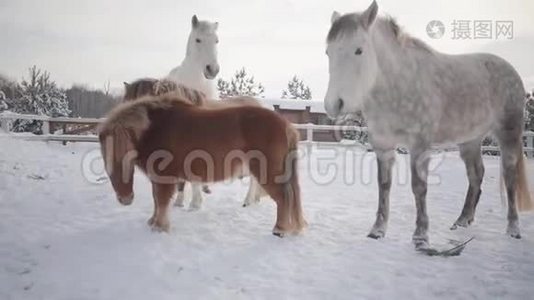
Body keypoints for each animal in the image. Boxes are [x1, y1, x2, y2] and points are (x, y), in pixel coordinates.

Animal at [324, 0, 532, 248]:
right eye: (328, 52)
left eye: (359, 50)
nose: (333, 104)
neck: (398, 84)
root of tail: (511, 71)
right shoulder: (383, 145)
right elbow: (383, 185)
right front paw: (377, 230)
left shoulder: (419, 145)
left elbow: (419, 187)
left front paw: (421, 236)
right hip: (470, 141)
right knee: (476, 175)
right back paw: (462, 220)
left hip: (508, 134)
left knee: (509, 177)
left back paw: (513, 228)